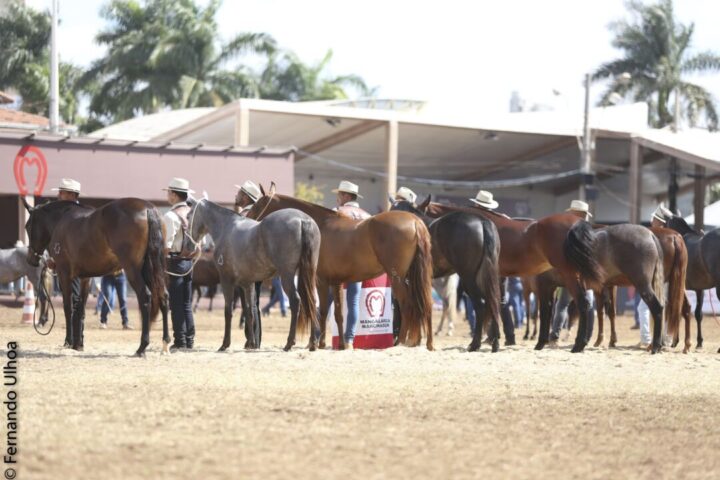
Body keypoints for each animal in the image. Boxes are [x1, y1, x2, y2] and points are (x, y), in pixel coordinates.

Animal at [22, 198, 169, 356]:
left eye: (27, 226)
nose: (30, 259)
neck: (61, 219)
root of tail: (148, 209)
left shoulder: (64, 274)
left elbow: (68, 307)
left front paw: (68, 342)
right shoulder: (86, 278)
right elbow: (80, 308)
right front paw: (78, 344)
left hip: (132, 268)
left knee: (145, 296)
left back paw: (142, 347)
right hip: (153, 268)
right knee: (163, 296)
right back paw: (165, 343)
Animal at [183, 199, 320, 352]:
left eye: (188, 216)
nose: (187, 246)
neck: (226, 228)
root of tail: (303, 220)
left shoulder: (226, 281)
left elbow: (228, 311)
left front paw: (225, 344)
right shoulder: (247, 283)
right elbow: (249, 310)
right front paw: (252, 343)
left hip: (287, 275)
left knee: (296, 301)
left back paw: (289, 343)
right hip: (308, 273)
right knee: (311, 301)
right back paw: (313, 343)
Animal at [248, 189, 434, 350]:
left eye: (257, 205)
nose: (248, 218)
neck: (319, 225)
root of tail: (415, 222)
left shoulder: (321, 281)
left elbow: (323, 311)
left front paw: (319, 343)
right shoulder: (336, 282)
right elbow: (337, 313)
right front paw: (340, 344)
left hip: (397, 278)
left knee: (408, 304)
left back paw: (400, 342)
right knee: (424, 303)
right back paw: (427, 343)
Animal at [388, 197, 500, 350]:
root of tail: (482, 221)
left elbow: (401, 304)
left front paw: (399, 338)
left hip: (468, 278)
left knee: (480, 304)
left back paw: (474, 344)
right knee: (491, 301)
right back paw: (494, 343)